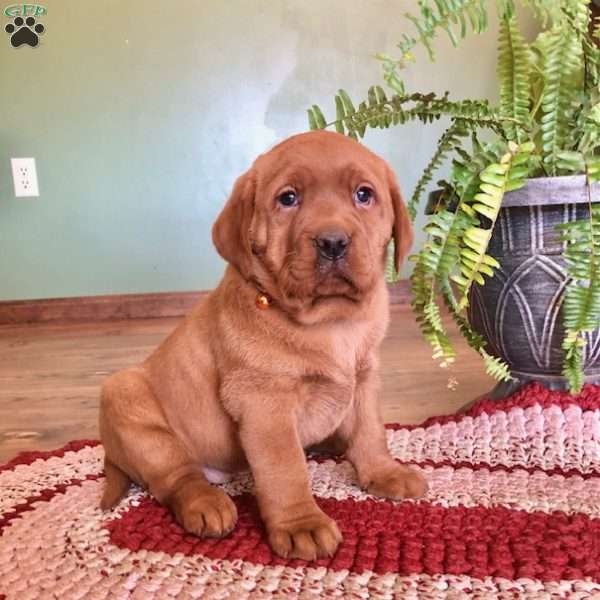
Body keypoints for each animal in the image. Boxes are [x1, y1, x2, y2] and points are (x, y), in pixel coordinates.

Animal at [99, 131, 426, 564]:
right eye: (288, 198)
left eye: (363, 194)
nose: (333, 242)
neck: (330, 322)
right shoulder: (263, 403)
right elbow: (284, 468)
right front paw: (301, 523)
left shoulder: (365, 379)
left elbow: (371, 431)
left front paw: (383, 472)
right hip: (127, 398)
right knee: (176, 476)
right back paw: (206, 503)